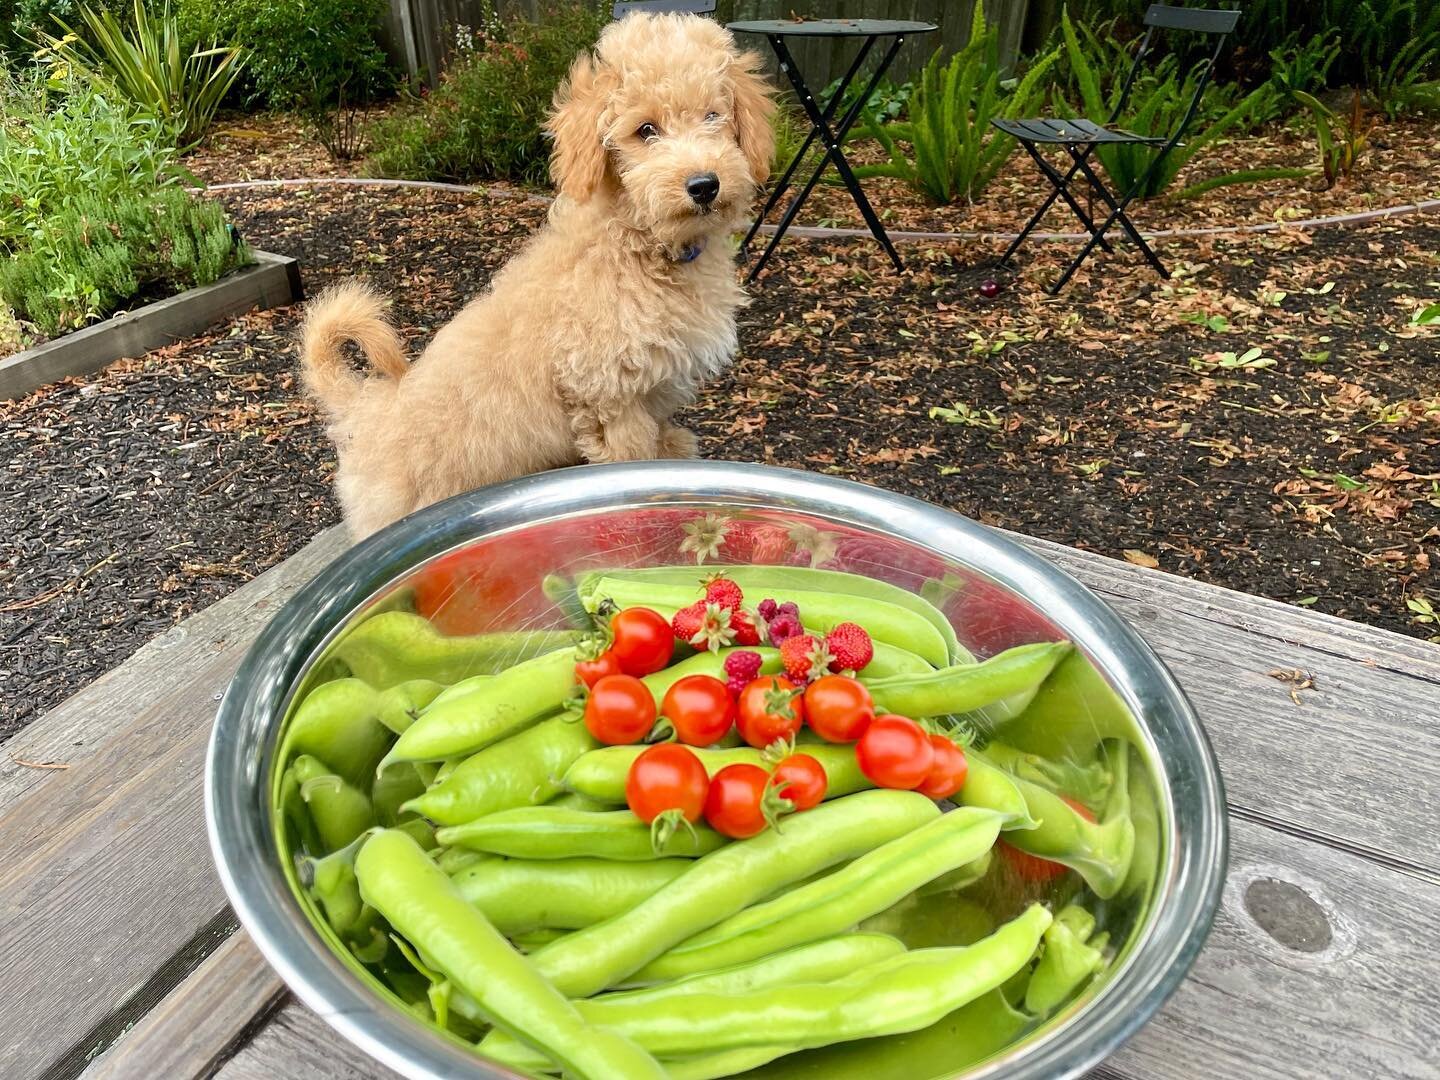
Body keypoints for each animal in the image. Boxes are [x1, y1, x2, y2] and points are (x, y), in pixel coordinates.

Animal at [298, 14, 777, 538]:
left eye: (713, 115)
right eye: (645, 130)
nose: (704, 184)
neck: (637, 243)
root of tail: (362, 407)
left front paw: (673, 449)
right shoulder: (609, 395)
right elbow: (633, 454)